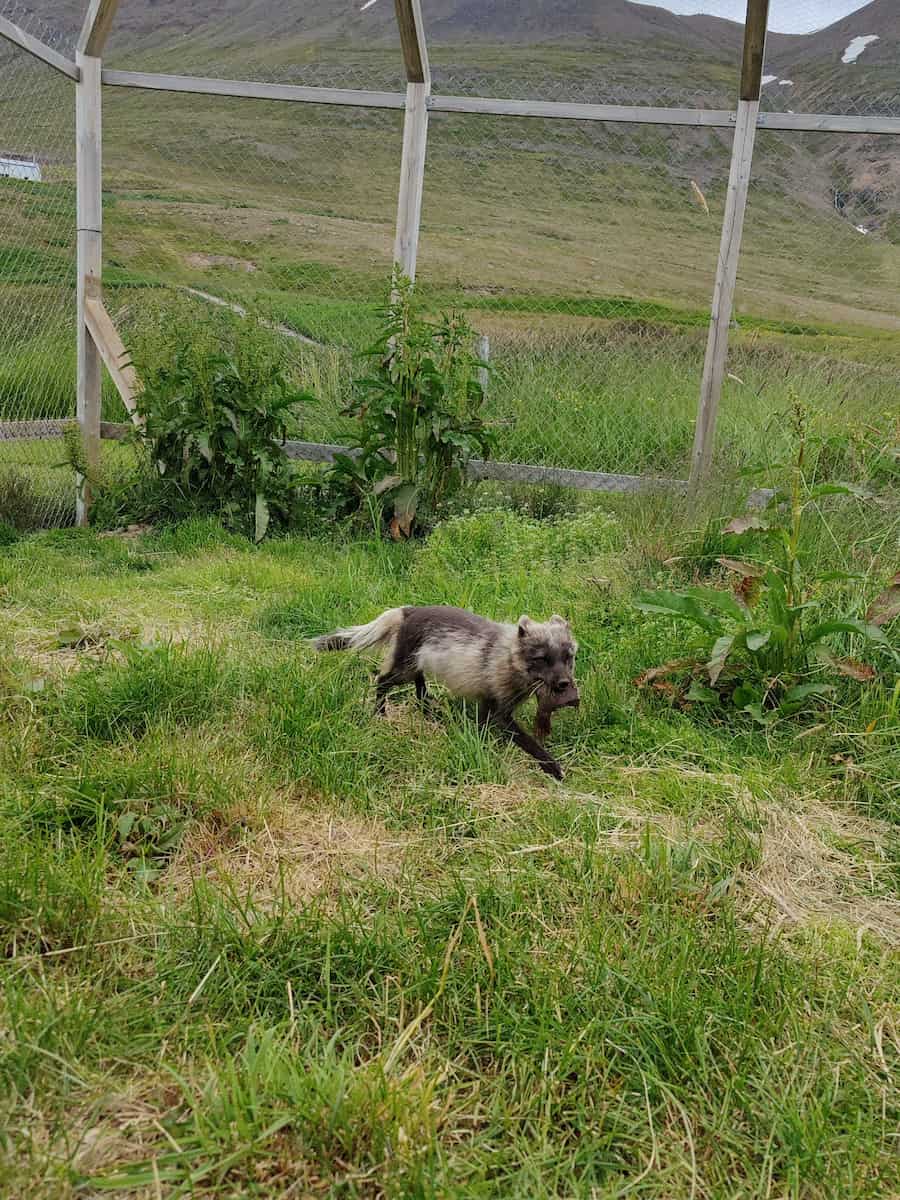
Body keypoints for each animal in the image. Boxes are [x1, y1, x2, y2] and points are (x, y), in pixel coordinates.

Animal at [311, 606, 579, 780]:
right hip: (403, 669)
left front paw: (482, 746)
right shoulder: (499, 709)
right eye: (542, 658)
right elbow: (526, 740)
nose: (564, 684)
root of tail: (407, 610)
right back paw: (380, 712)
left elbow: (483, 729)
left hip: (417, 663)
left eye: (568, 657)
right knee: (382, 680)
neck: (507, 655)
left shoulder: (489, 704)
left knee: (419, 690)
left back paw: (430, 711)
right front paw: (553, 767)